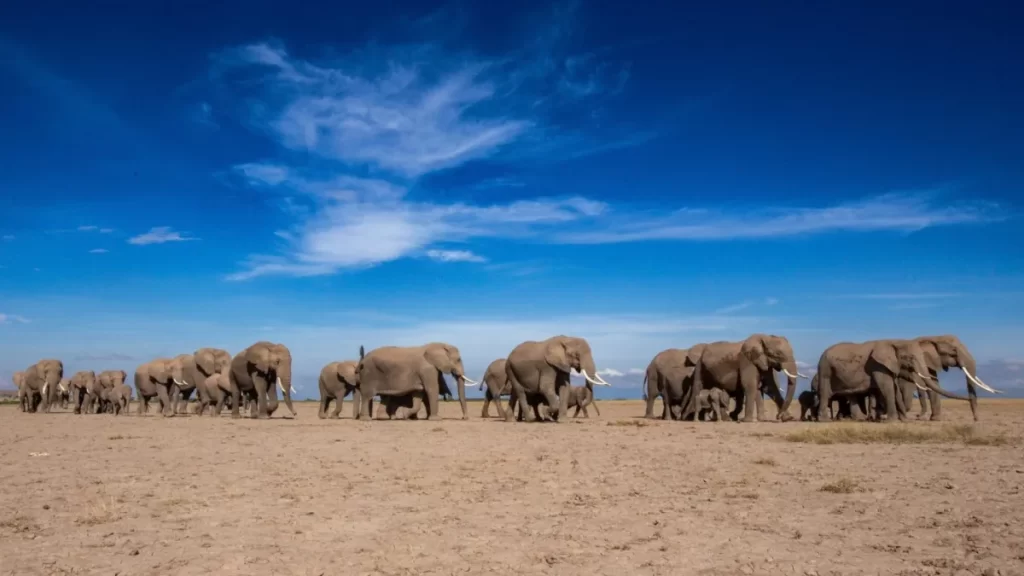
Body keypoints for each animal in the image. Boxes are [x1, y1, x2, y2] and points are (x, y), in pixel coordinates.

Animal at [814, 339, 975, 422]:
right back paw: (825, 420)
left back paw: (858, 419)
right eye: (910, 357)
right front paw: (891, 421)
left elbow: (894, 389)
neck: (894, 341)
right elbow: (887, 388)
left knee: (850, 394)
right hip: (825, 368)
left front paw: (902, 420)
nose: (975, 419)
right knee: (825, 393)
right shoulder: (878, 366)